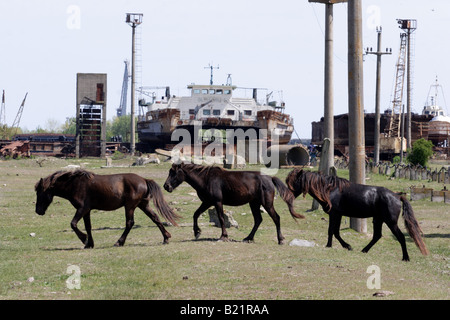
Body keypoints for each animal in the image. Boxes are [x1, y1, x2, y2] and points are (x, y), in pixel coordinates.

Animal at [35, 170, 179, 248]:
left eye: (40, 192)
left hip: (130, 206)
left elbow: (73, 224)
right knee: (155, 218)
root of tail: (143, 179)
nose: (38, 211)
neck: (75, 184)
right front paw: (89, 243)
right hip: (143, 205)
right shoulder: (87, 211)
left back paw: (119, 242)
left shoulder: (82, 209)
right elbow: (88, 227)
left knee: (129, 223)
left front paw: (84, 239)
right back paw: (166, 238)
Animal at [163, 164, 304, 244]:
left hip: (267, 204)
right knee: (258, 220)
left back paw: (280, 239)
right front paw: (197, 232)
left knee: (276, 218)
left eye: (174, 172)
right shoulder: (207, 202)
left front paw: (223, 236)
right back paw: (248, 238)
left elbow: (221, 218)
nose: (166, 186)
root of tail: (269, 178)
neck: (207, 179)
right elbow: (195, 214)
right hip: (254, 204)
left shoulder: (217, 202)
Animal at [284, 169, 428, 262]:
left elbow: (331, 230)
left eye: (293, 182)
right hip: (378, 220)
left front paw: (333, 246)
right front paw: (345, 246)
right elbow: (335, 231)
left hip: (390, 222)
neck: (330, 189)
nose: (287, 197)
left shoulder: (334, 214)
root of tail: (397, 196)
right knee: (377, 236)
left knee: (400, 237)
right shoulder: (339, 215)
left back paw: (405, 258)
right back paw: (364, 250)